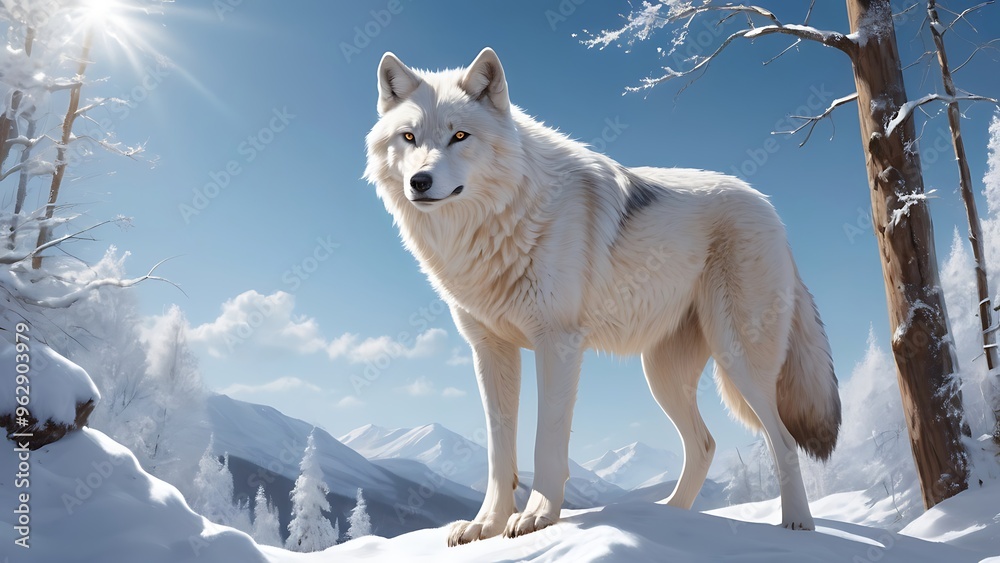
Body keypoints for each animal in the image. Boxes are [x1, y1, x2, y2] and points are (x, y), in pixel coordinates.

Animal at [364, 47, 840, 545]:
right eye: (409, 137)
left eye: (459, 136)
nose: (419, 181)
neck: (498, 221)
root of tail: (773, 212)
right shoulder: (489, 350)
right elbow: (499, 452)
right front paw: (487, 525)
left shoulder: (557, 343)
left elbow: (547, 440)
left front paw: (538, 516)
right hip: (662, 375)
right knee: (705, 444)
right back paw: (669, 518)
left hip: (738, 360)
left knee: (782, 440)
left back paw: (796, 525)